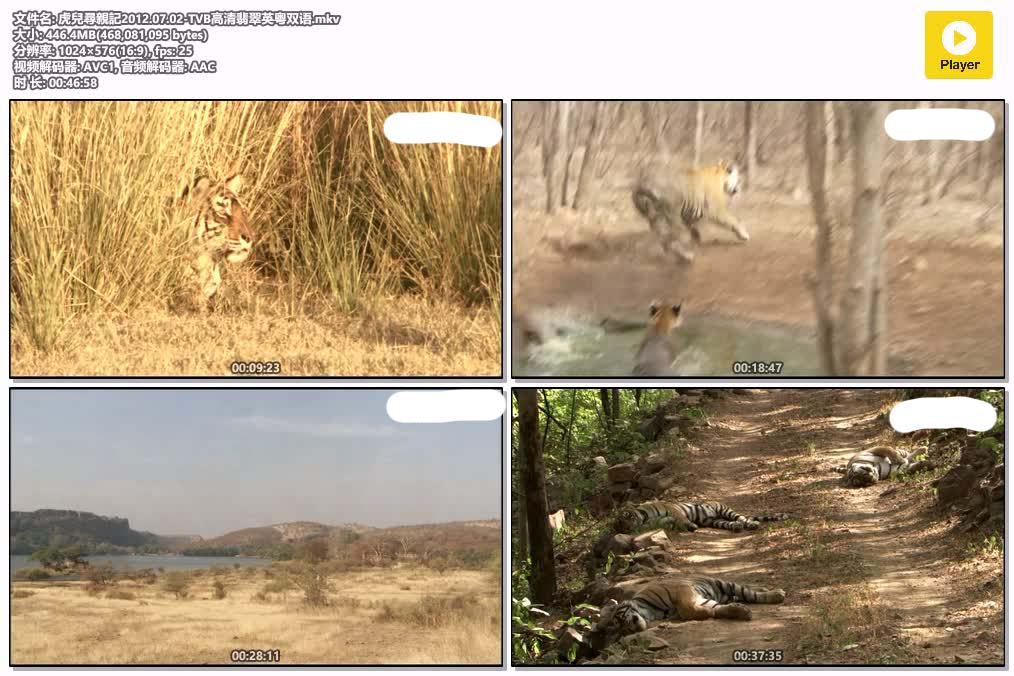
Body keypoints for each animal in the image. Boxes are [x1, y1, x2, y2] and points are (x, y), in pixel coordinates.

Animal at [595, 576, 786, 637]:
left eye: (620, 620)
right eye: (622, 631)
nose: (630, 629)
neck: (650, 612)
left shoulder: (683, 590)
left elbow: (687, 609)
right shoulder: (701, 599)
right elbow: (715, 609)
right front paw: (739, 611)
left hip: (725, 584)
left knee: (750, 592)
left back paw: (777, 594)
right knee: (746, 592)